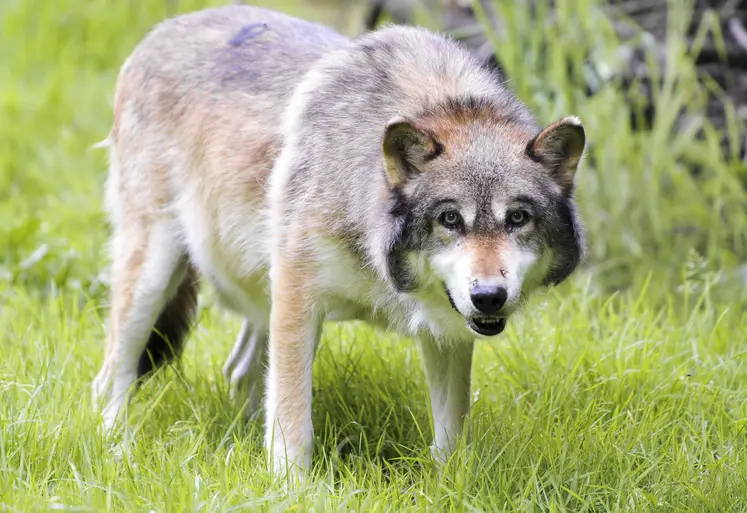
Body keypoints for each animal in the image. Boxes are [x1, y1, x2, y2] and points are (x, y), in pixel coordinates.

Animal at [91, 4, 586, 479]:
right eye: (450, 219)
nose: (488, 297)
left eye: (517, 218)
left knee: (237, 371)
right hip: (154, 276)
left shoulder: (447, 331)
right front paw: (290, 490)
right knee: (111, 376)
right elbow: (293, 424)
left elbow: (451, 438)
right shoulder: (298, 295)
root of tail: (162, 30)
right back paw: (117, 450)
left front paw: (452, 489)